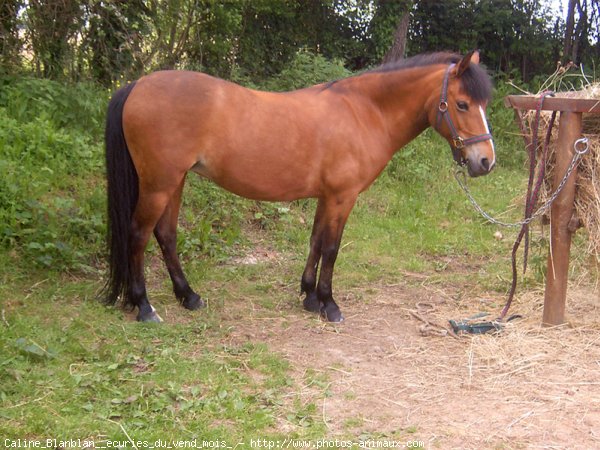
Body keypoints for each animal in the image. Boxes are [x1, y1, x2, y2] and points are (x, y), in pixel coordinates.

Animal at [105, 51, 494, 322]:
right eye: (462, 104)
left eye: (484, 104)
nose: (485, 161)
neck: (364, 111)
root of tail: (137, 85)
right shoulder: (342, 197)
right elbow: (332, 248)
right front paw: (329, 304)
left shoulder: (326, 196)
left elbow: (316, 241)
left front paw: (309, 297)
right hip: (159, 184)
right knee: (138, 235)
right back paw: (144, 306)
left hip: (175, 181)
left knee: (166, 235)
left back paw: (189, 297)